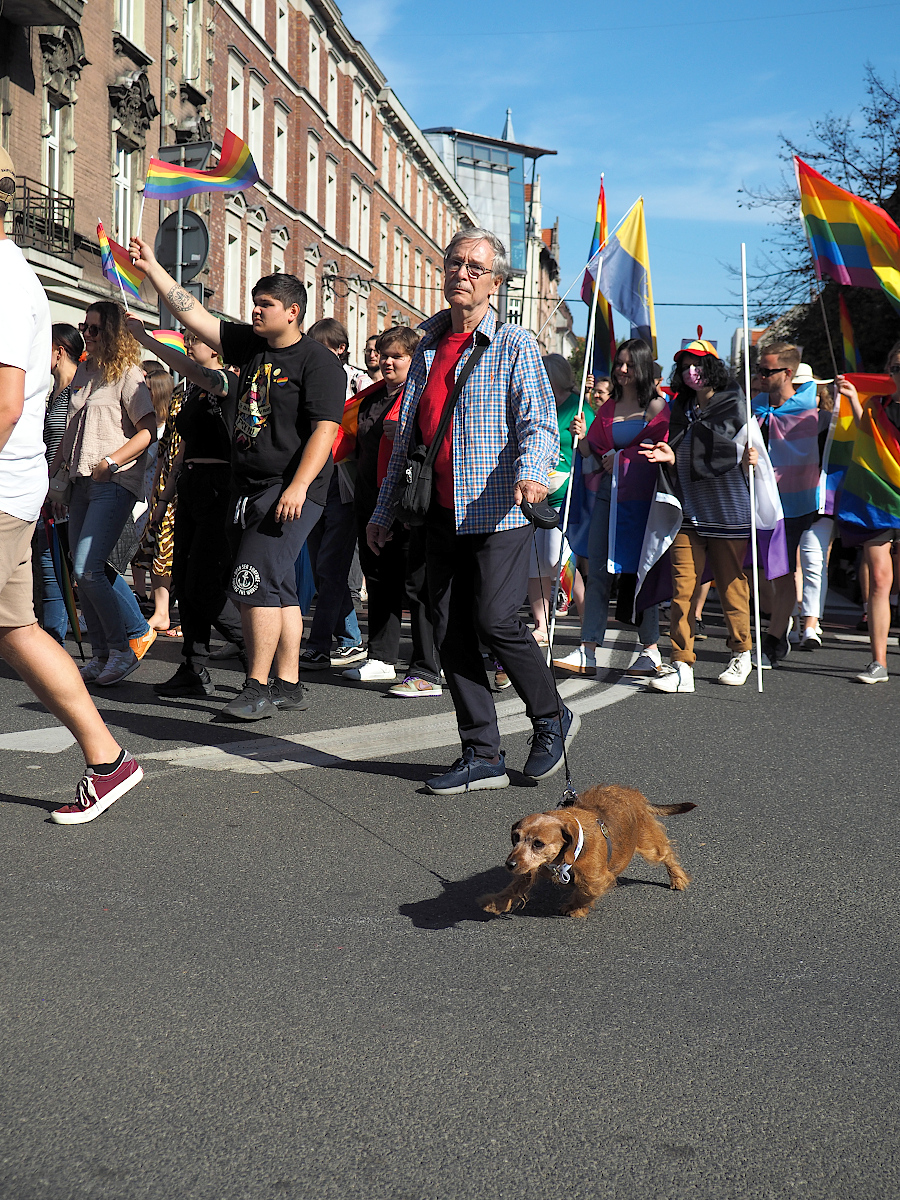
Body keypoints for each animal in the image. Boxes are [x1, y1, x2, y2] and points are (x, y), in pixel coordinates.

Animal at [479, 784, 696, 919]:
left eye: (538, 843)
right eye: (516, 837)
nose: (510, 864)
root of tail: (634, 795)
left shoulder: (595, 878)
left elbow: (586, 892)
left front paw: (574, 908)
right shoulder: (531, 868)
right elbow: (514, 887)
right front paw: (496, 902)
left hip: (650, 844)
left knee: (667, 853)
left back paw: (677, 878)